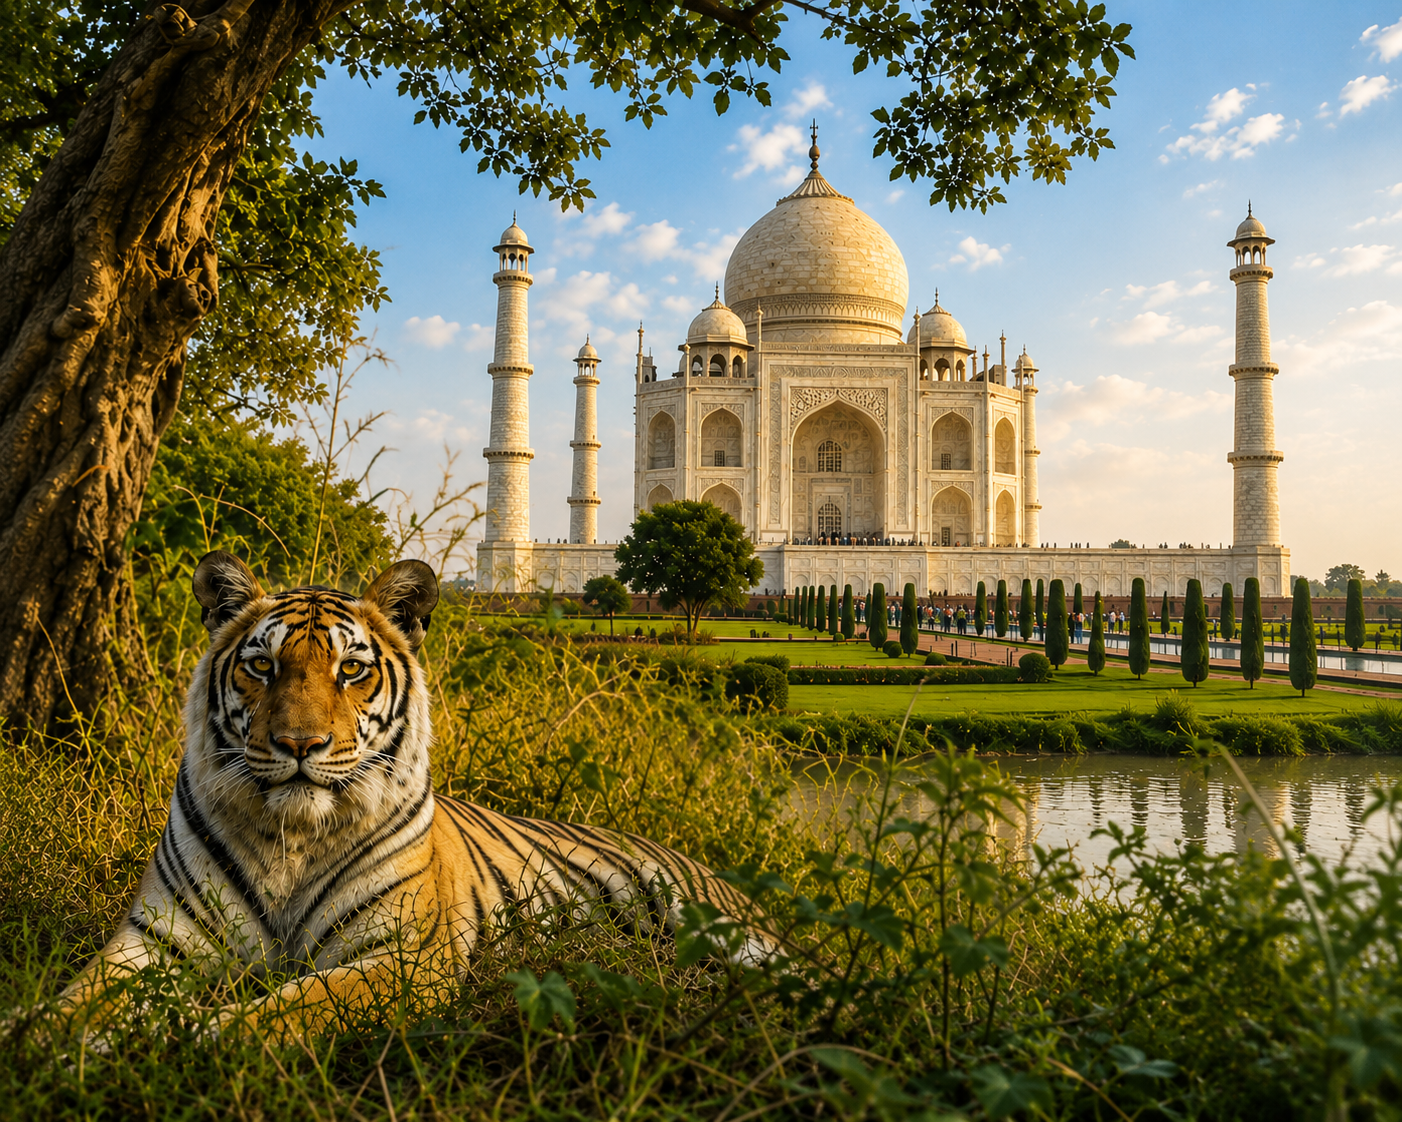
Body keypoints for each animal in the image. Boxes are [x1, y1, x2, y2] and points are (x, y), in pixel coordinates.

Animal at [53, 551, 772, 1042]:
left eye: (351, 669)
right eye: (262, 665)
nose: (299, 743)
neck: (289, 839)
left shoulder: (404, 957)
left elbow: (285, 1011)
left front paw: (189, 1038)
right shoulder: (152, 940)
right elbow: (74, 1004)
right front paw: (55, 1046)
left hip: (729, 930)